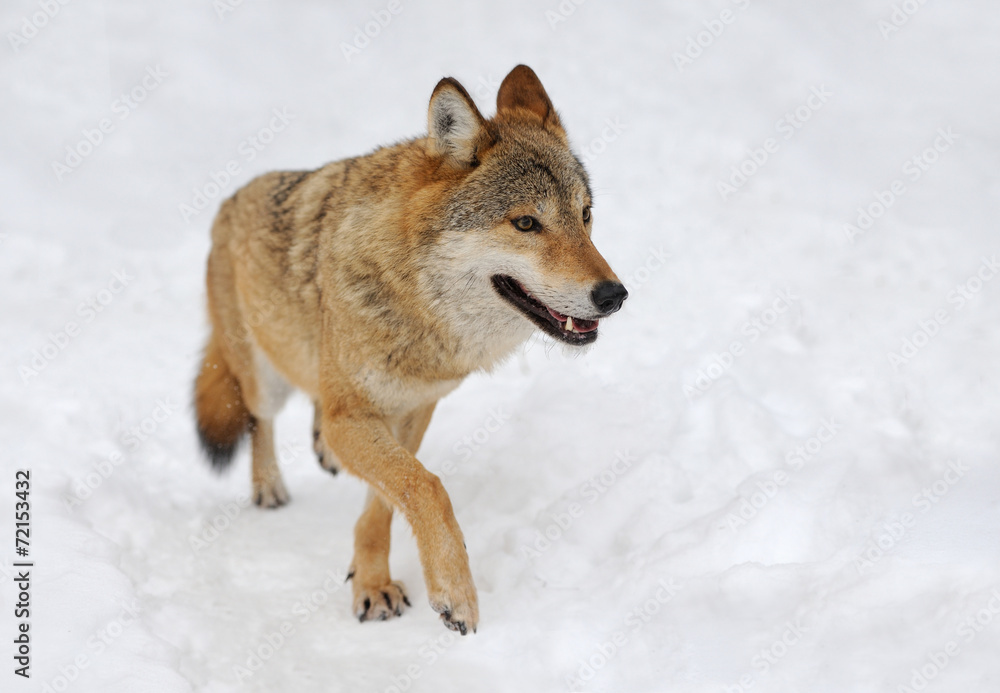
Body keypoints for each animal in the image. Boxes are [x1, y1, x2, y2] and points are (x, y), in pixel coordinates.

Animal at [194, 65, 628, 635]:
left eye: (585, 215)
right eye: (526, 223)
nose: (614, 295)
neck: (418, 307)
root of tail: (227, 204)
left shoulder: (417, 407)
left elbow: (385, 501)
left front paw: (371, 581)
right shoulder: (354, 418)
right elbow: (427, 488)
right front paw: (453, 592)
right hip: (264, 379)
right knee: (257, 418)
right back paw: (269, 487)